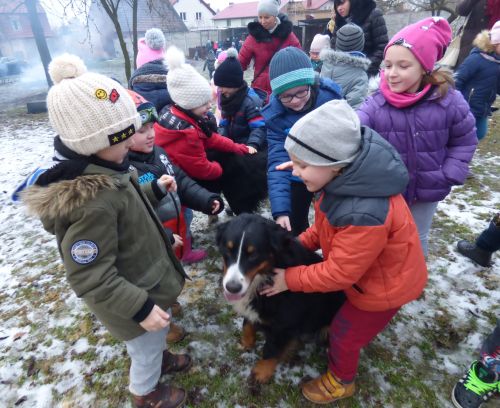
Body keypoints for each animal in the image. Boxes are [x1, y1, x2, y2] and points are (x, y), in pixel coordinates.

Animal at [216, 214, 345, 383]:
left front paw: (261, 372)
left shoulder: (283, 323)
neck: (266, 275)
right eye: (228, 249)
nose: (232, 287)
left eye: (253, 254)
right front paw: (245, 344)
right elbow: (247, 326)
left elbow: (271, 348)